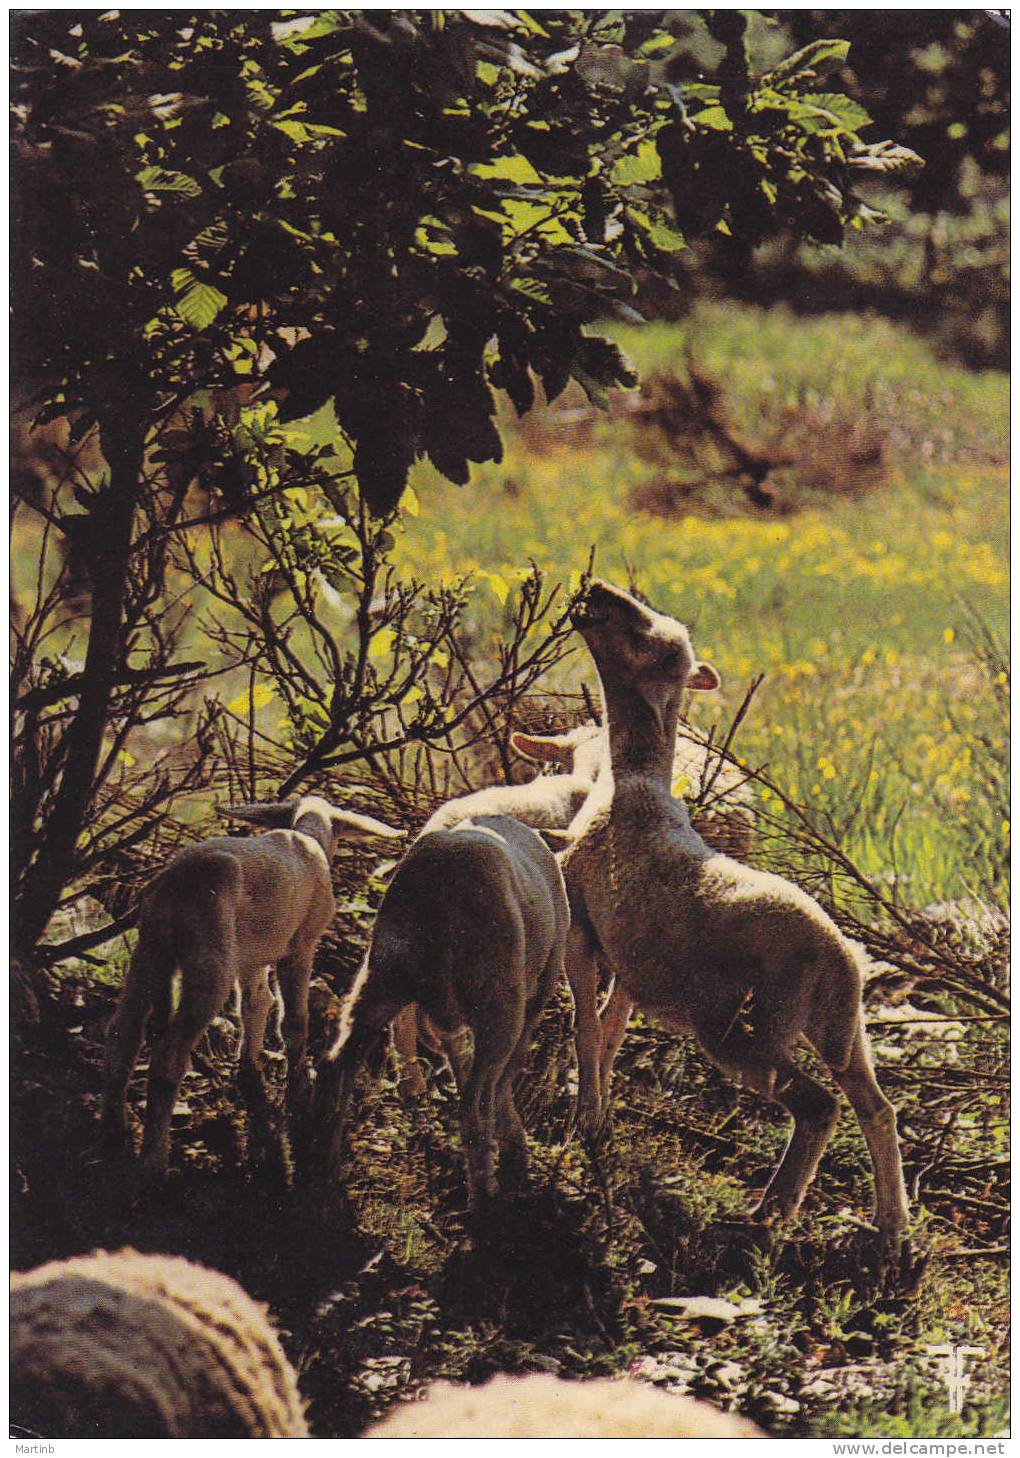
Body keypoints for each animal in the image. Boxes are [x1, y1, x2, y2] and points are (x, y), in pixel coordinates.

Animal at [99, 793, 402, 1178]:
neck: (307, 837)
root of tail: (176, 881)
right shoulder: (300, 945)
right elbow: (293, 1022)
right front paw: (299, 1093)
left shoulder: (253, 955)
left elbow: (257, 1002)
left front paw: (249, 1067)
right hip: (210, 962)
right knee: (169, 1056)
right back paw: (154, 1160)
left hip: (151, 947)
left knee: (121, 1033)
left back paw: (113, 1131)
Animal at [314, 816, 571, 1201]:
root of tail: (441, 886)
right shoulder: (536, 995)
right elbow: (501, 1080)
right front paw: (513, 1147)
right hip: (499, 998)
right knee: (476, 1102)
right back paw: (484, 1193)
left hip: (382, 975)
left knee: (335, 1065)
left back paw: (325, 1171)